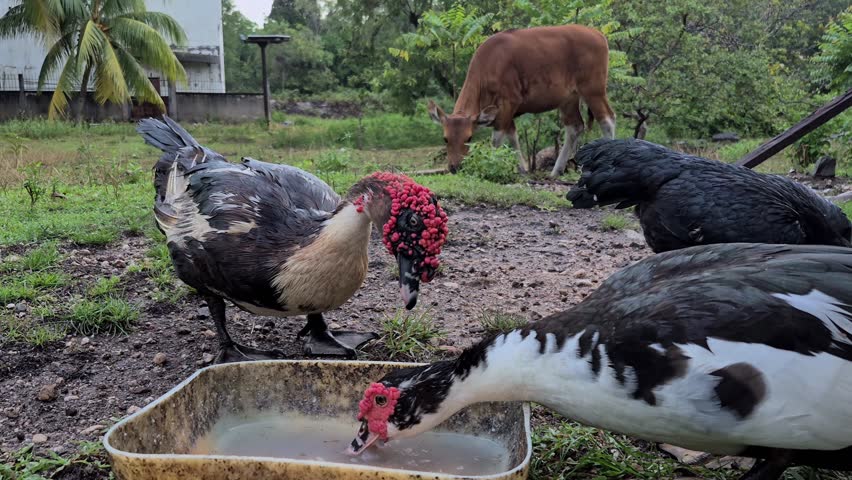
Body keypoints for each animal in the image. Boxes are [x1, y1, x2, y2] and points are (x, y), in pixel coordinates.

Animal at [428, 25, 615, 178]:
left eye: (469, 137)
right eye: (445, 139)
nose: (454, 167)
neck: (489, 64)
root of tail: (598, 35)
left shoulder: (509, 102)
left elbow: (497, 139)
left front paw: (492, 165)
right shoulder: (505, 110)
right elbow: (512, 137)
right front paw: (522, 170)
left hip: (593, 90)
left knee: (607, 120)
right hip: (569, 98)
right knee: (575, 127)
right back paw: (556, 171)